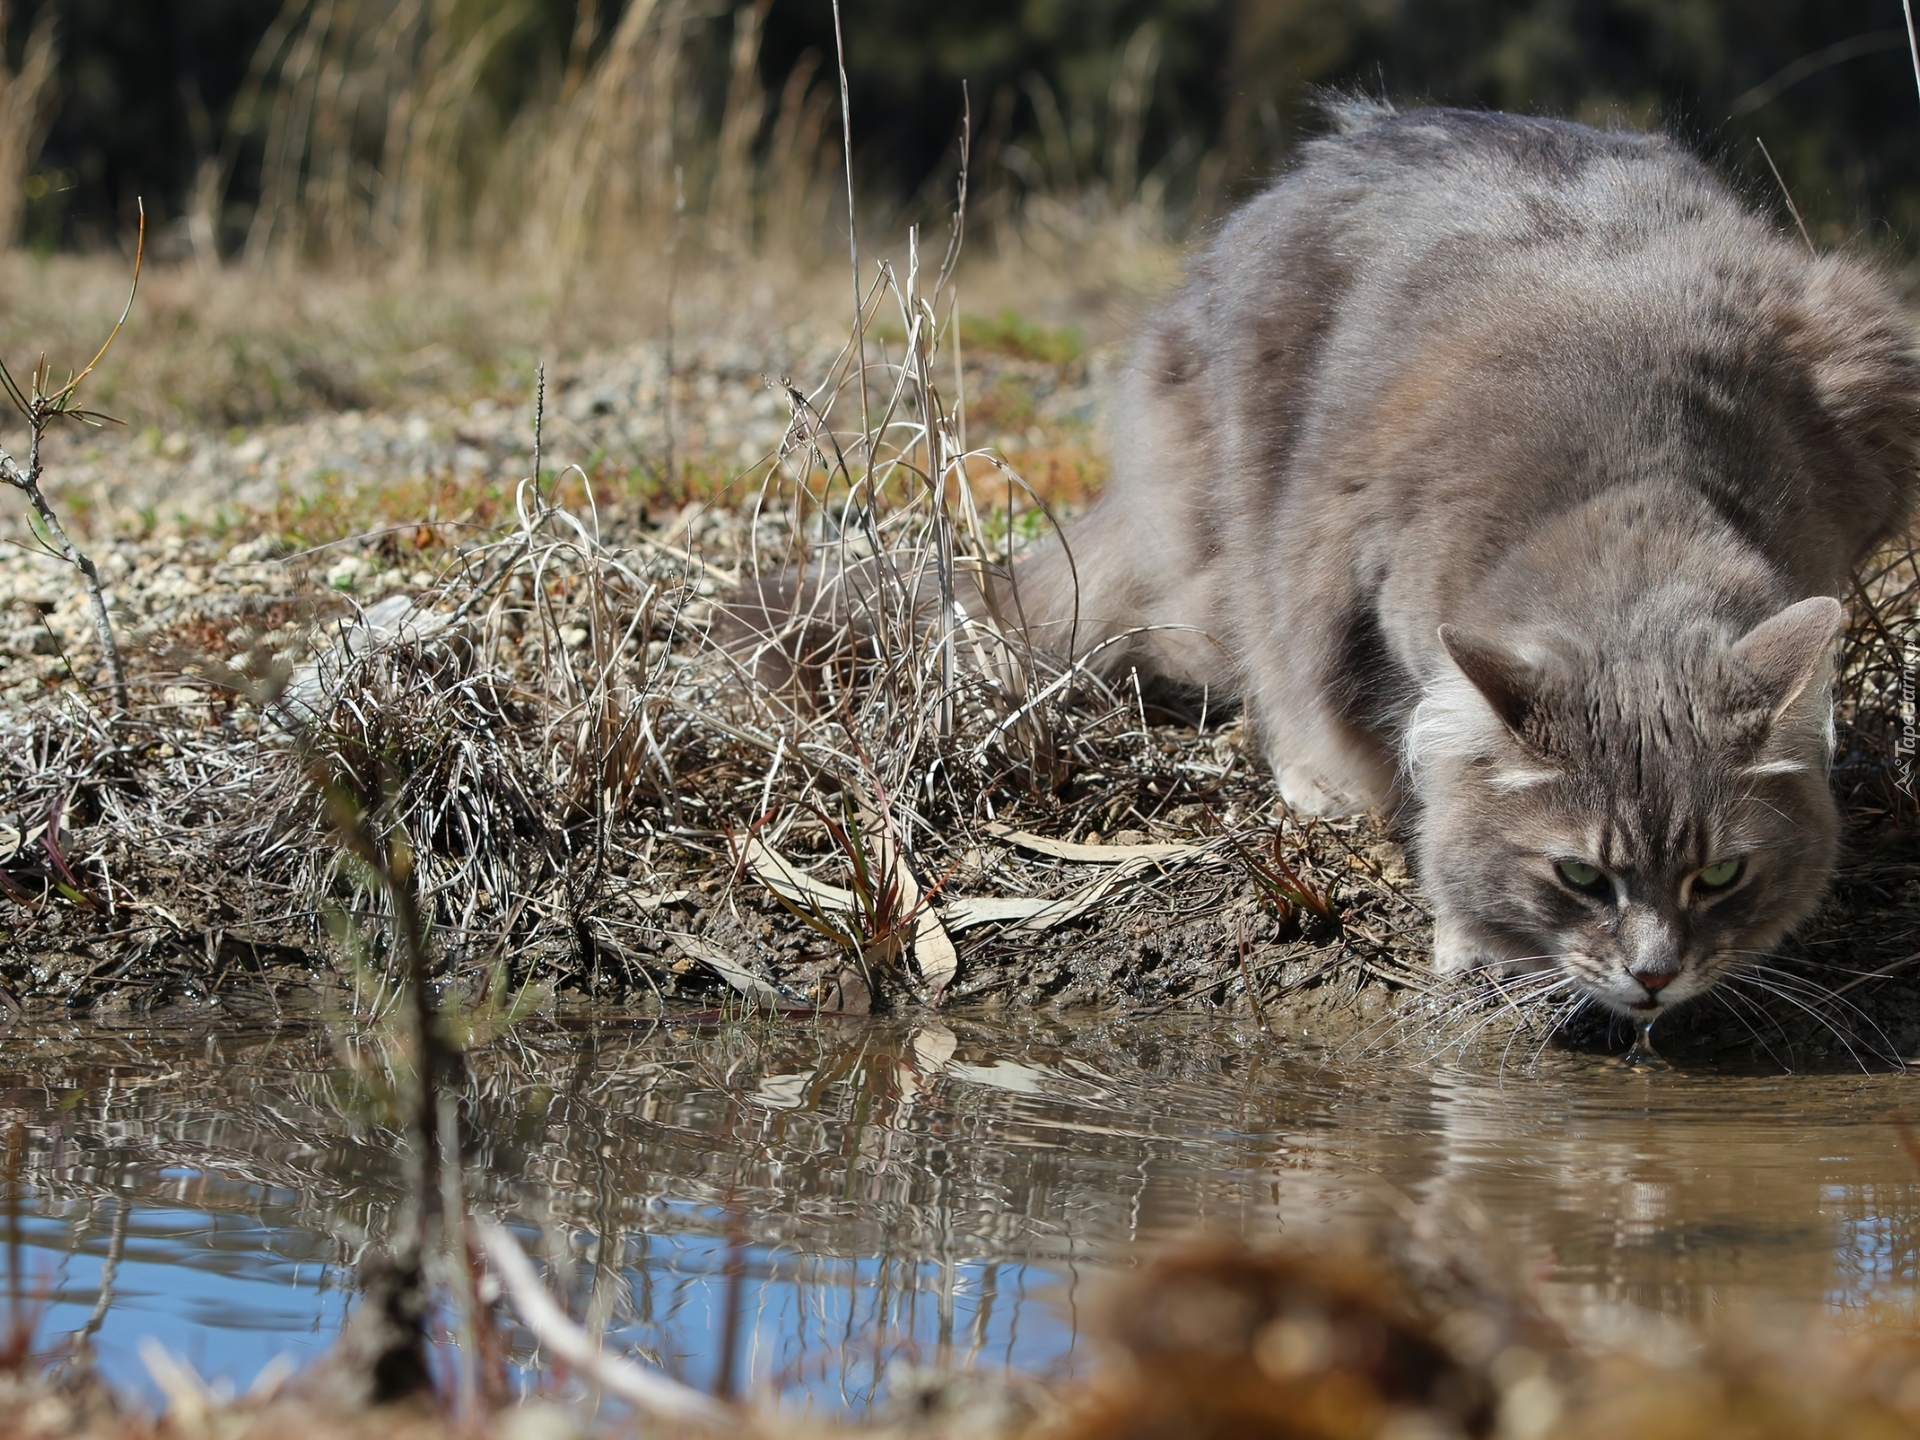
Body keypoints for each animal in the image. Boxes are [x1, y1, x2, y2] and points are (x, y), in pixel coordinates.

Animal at [1013, 104, 1912, 1013]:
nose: (1655, 977)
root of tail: (1358, 133)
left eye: (1722, 876)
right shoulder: (1374, 604)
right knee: (1266, 655)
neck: (1639, 488)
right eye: (1580, 877)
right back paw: (1316, 781)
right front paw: (1467, 933)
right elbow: (1432, 771)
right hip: (1251, 507)